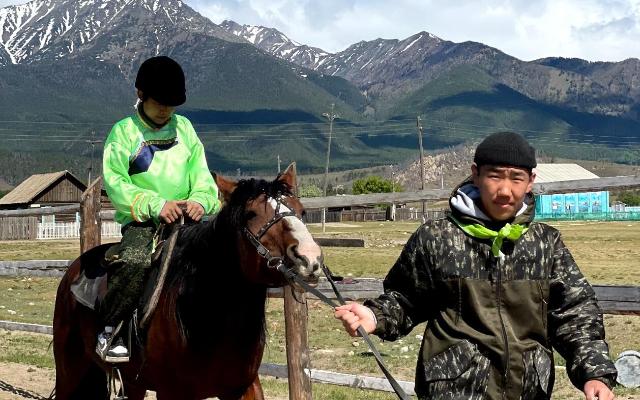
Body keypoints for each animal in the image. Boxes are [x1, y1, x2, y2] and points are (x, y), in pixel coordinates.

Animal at [52, 164, 322, 398]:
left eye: (301, 211)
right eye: (251, 213)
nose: (308, 257)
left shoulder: (244, 387)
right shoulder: (172, 392)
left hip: (132, 382)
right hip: (69, 371)